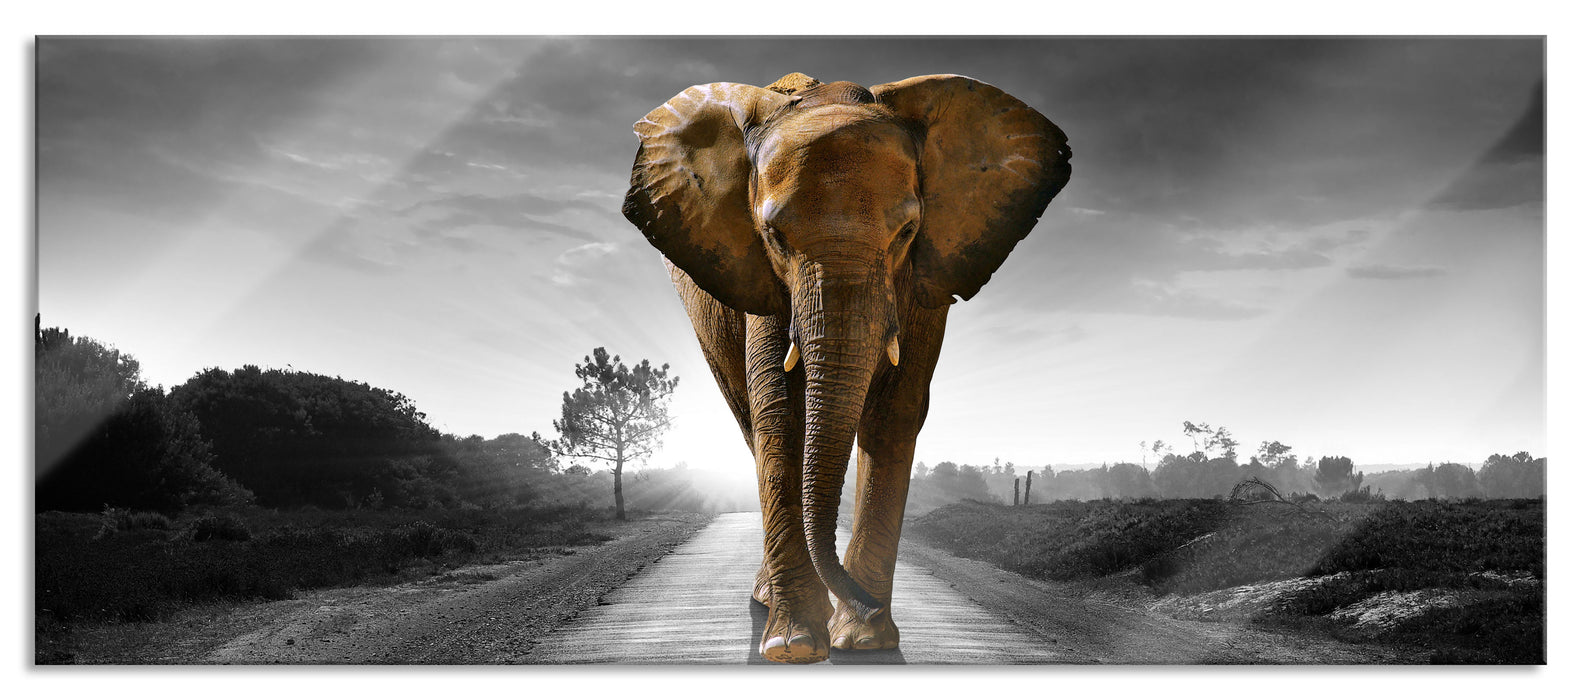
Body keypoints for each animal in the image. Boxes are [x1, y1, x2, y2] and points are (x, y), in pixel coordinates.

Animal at [621, 72, 1071, 663]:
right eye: (774, 236)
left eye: (907, 232)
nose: (866, 603)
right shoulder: (762, 280)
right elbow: (780, 413)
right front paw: (793, 646)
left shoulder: (925, 278)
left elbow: (895, 412)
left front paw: (864, 640)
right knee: (749, 421)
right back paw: (769, 603)